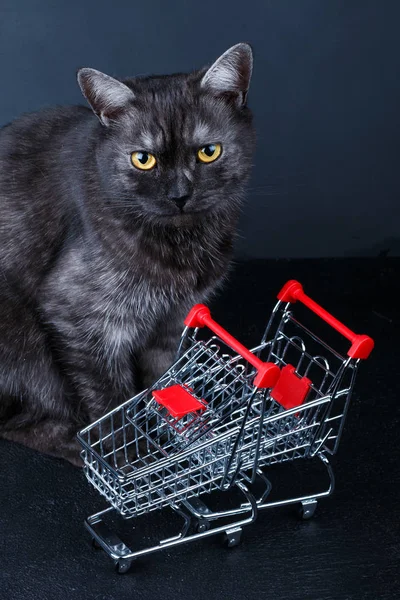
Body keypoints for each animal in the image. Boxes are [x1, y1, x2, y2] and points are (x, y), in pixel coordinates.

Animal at [0, 43, 255, 464]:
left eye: (208, 152)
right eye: (143, 159)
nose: (179, 195)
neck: (181, 246)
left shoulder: (174, 319)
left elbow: (166, 380)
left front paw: (182, 435)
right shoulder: (78, 317)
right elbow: (109, 400)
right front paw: (126, 456)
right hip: (27, 346)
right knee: (24, 421)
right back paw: (75, 447)